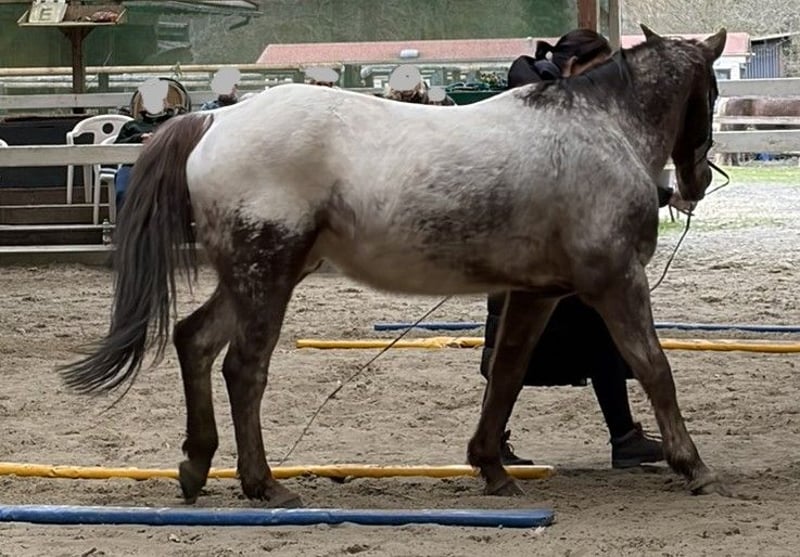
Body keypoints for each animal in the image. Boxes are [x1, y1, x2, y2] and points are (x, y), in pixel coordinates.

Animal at [60, 25, 728, 507]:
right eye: (713, 93)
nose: (694, 183)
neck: (599, 129)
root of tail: (216, 118)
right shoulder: (614, 282)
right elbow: (653, 366)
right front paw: (693, 465)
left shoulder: (537, 292)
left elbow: (507, 373)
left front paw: (492, 467)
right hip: (266, 276)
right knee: (244, 369)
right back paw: (263, 483)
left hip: (259, 278)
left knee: (195, 342)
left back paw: (197, 467)